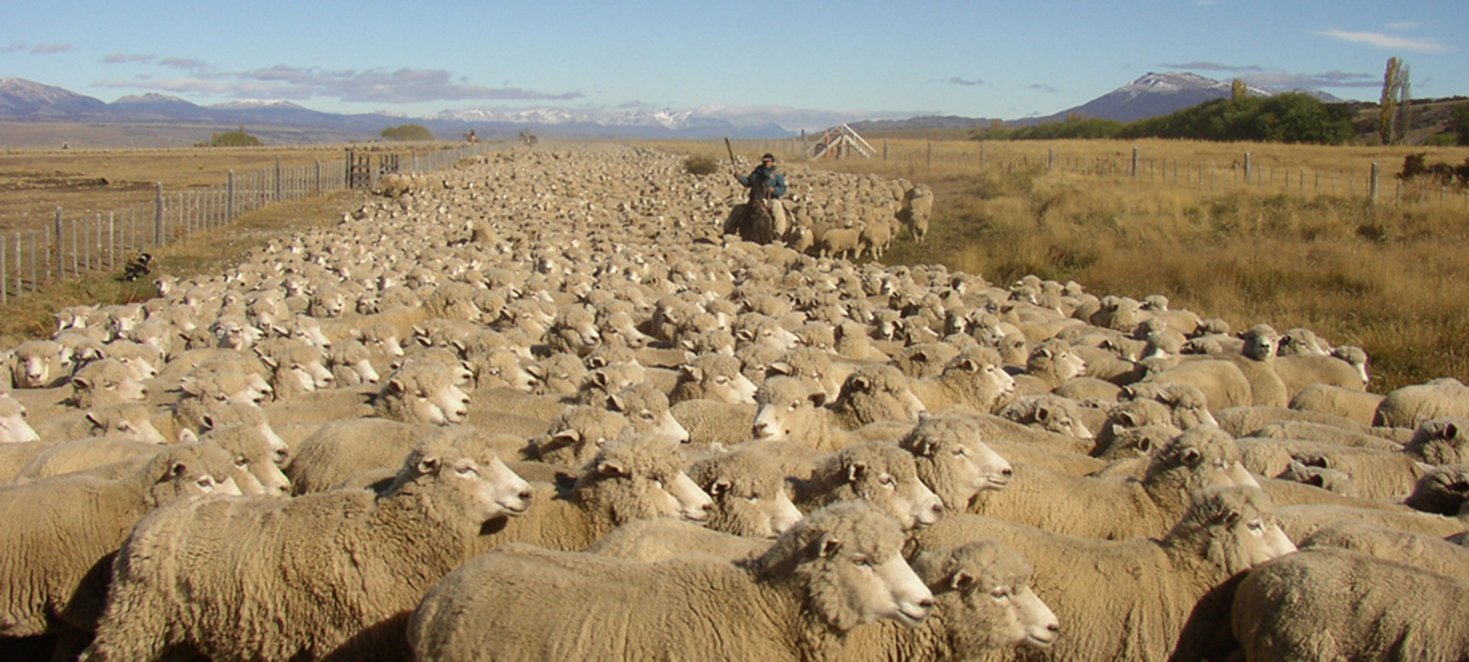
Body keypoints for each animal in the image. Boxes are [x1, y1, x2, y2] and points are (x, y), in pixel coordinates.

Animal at [81, 431, 534, 660]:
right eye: (465, 469)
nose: (526, 493)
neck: (385, 533)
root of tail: (156, 517)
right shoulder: (350, 637)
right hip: (137, 617)